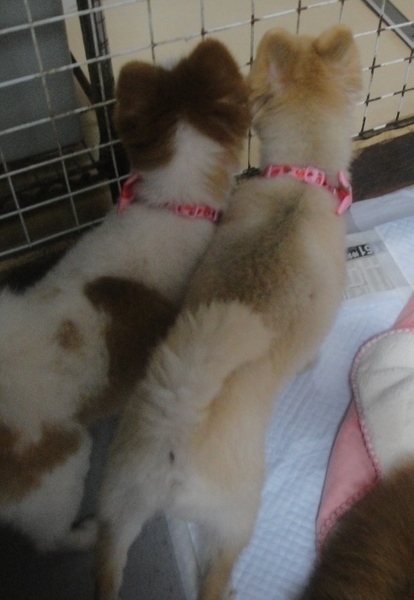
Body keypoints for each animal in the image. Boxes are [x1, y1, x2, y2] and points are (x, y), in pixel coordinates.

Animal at [95, 25, 361, 600]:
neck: (300, 181)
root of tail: (177, 426)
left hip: (119, 504)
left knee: (108, 564)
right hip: (235, 517)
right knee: (214, 575)